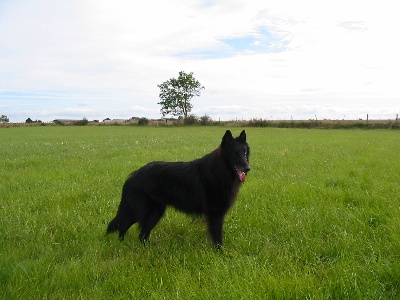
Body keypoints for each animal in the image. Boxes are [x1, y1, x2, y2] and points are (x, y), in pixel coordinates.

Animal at [106, 130, 250, 247]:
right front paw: (220, 253)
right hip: (142, 211)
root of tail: (132, 176)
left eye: (244, 152)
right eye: (234, 153)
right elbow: (218, 237)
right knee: (123, 226)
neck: (219, 171)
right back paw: (123, 244)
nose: (248, 168)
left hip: (153, 212)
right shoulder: (216, 214)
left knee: (140, 234)